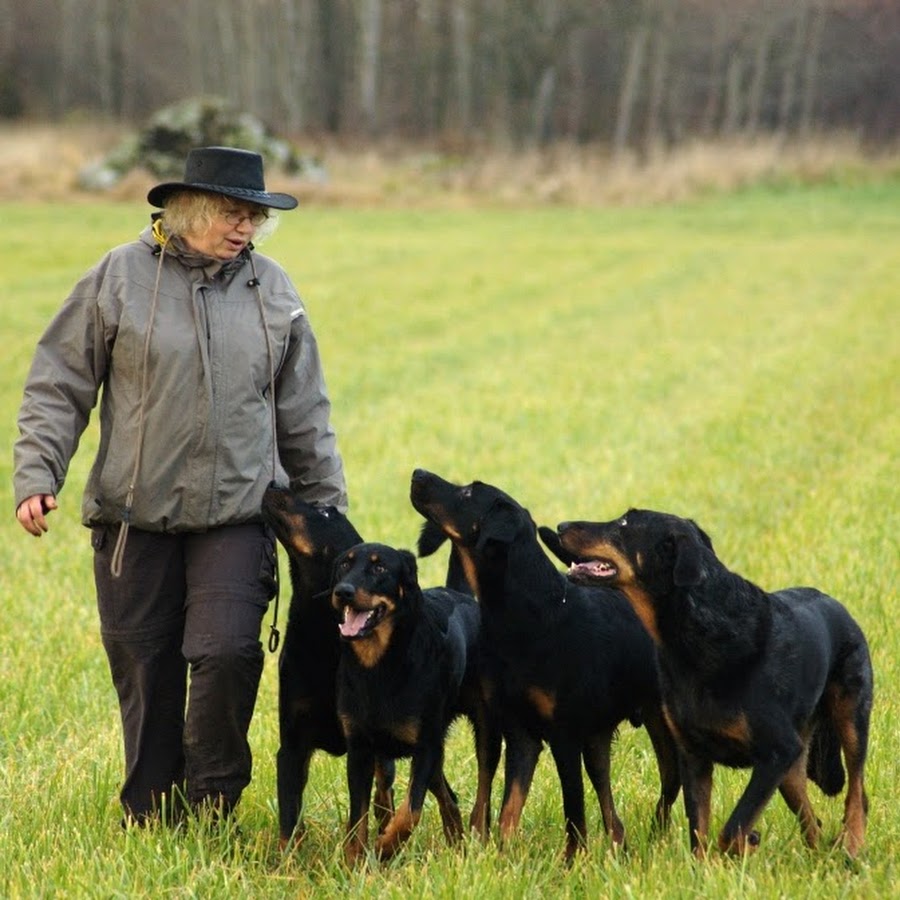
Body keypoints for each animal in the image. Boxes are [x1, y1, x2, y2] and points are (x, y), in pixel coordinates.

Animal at [261, 484, 396, 847]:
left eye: (323, 512)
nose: (274, 485)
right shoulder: (292, 744)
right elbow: (289, 818)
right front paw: (287, 858)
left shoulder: (363, 739)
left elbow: (361, 812)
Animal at [331, 541, 501, 863]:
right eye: (344, 564)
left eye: (380, 567)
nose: (342, 591)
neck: (380, 665)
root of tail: (460, 595)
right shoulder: (359, 747)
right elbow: (357, 818)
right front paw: (353, 862)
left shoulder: (425, 746)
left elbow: (411, 812)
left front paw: (385, 847)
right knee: (446, 797)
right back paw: (455, 841)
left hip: (484, 727)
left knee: (483, 787)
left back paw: (478, 839)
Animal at [410, 469, 681, 861]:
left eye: (467, 493)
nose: (418, 474)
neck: (532, 616)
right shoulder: (521, 735)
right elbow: (508, 811)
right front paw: (504, 859)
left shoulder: (563, 736)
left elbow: (573, 811)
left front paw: (571, 863)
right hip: (596, 738)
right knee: (610, 807)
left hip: (662, 730)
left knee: (668, 790)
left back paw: (656, 840)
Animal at [555, 508, 873, 858]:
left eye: (624, 523)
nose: (561, 525)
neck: (698, 631)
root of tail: (838, 607)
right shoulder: (695, 755)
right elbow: (699, 829)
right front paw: (708, 866)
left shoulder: (777, 750)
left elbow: (732, 828)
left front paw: (745, 846)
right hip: (792, 765)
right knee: (811, 818)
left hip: (849, 713)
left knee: (856, 789)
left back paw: (852, 846)